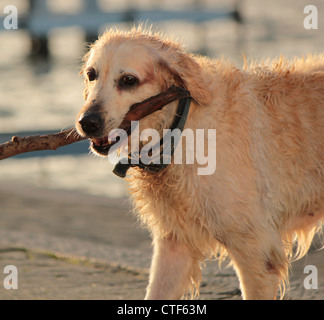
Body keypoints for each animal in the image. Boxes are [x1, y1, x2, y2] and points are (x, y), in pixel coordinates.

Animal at [76, 27, 324, 300]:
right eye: (91, 74)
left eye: (128, 80)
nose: (87, 122)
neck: (181, 129)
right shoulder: (175, 243)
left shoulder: (256, 251)